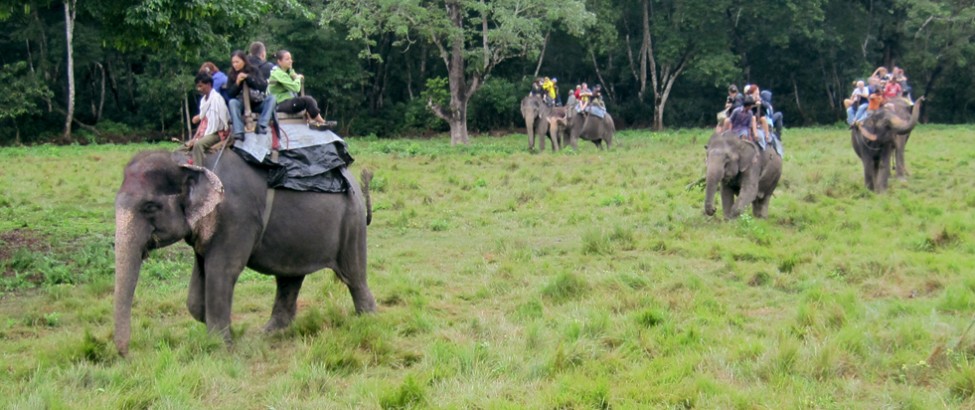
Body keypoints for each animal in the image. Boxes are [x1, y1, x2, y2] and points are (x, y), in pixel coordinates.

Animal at [112, 148, 376, 356]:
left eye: (149, 206)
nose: (127, 355)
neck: (190, 161)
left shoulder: (237, 217)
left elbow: (222, 271)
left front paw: (220, 346)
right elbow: (197, 287)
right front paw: (222, 328)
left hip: (351, 223)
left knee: (353, 276)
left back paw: (367, 320)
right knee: (289, 278)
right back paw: (270, 332)